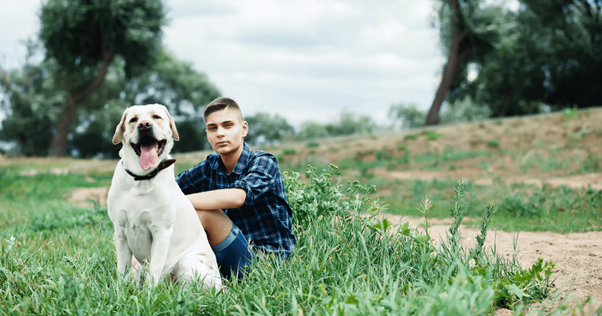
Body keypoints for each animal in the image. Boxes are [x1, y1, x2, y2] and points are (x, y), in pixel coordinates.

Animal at [107, 104, 220, 288]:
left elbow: (154, 270)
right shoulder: (120, 232)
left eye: (156, 117)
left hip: (186, 262)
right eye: (133, 120)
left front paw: (149, 294)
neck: (141, 178)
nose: (144, 125)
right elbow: (122, 270)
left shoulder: (161, 232)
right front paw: (120, 291)